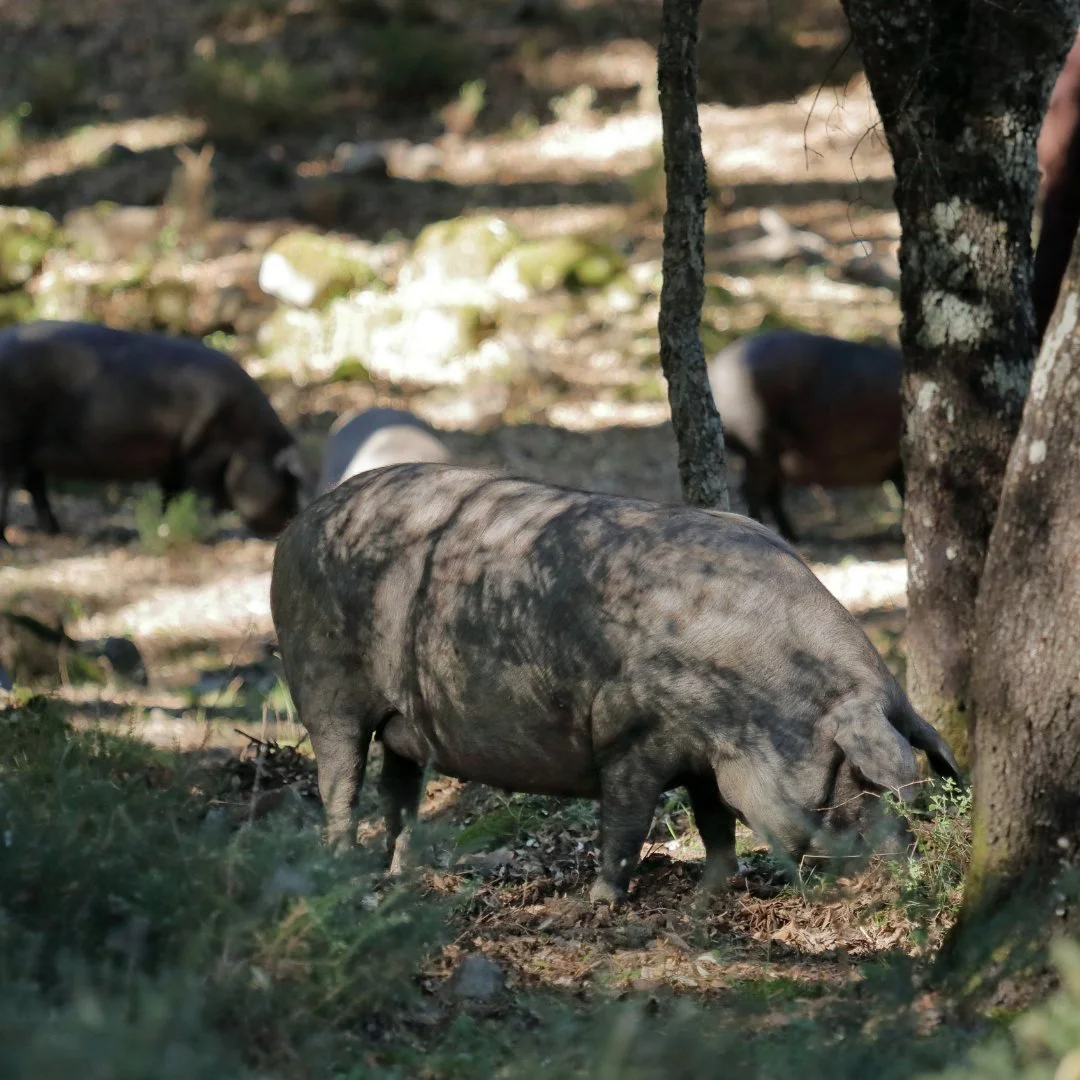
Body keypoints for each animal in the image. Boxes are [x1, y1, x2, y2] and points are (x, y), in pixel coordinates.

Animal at [0, 320, 305, 543]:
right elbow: (201, 496)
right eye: (289, 480)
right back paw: (10, 542)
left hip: (32, 452)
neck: (249, 442)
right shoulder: (201, 454)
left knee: (34, 486)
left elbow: (170, 495)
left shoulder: (173, 460)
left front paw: (166, 525)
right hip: (11, 443)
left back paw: (55, 532)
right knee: (11, 486)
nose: (292, 519)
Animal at [271, 463, 959, 905]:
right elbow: (627, 821)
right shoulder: (630, 734)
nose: (902, 876)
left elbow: (714, 819)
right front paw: (601, 903)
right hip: (325, 689)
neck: (759, 700)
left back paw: (401, 878)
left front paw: (712, 894)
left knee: (400, 794)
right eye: (859, 779)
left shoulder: (703, 752)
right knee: (340, 783)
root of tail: (298, 524)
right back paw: (344, 871)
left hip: (403, 723)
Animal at [707, 330, 904, 542]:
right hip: (758, 447)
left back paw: (791, 536)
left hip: (770, 455)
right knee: (753, 491)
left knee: (769, 493)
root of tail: (716, 366)